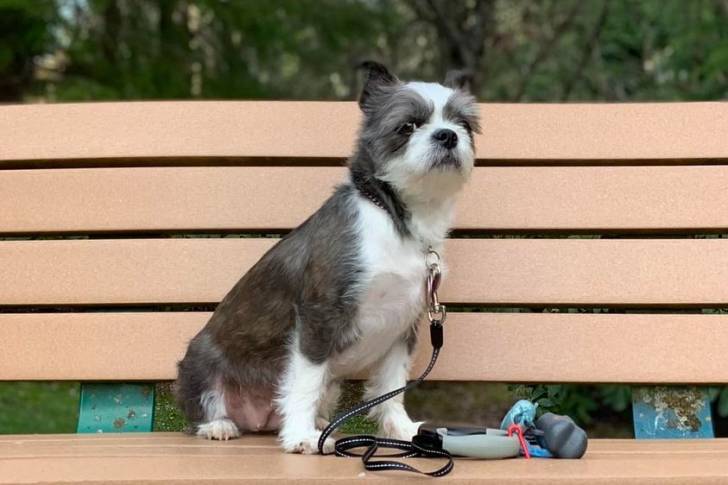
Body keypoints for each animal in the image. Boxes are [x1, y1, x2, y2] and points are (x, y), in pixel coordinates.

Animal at [176, 61, 480, 454]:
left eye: (464, 124)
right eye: (408, 125)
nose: (447, 136)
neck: (394, 220)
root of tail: (256, 418)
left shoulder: (403, 326)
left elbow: (390, 388)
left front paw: (401, 429)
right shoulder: (320, 318)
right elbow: (305, 382)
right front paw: (300, 437)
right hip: (200, 366)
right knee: (206, 406)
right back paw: (220, 425)